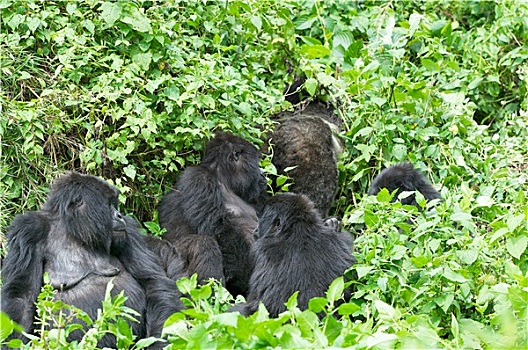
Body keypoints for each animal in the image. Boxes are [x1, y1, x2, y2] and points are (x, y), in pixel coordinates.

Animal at [0, 172, 182, 348]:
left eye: (115, 204)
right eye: (109, 204)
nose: (120, 215)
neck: (74, 230)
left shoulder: (128, 231)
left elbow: (154, 282)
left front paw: (159, 342)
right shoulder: (28, 231)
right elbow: (22, 297)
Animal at [152, 131, 268, 296]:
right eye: (257, 162)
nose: (263, 174)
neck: (224, 179)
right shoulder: (199, 180)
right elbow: (218, 228)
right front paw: (243, 276)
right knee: (203, 243)